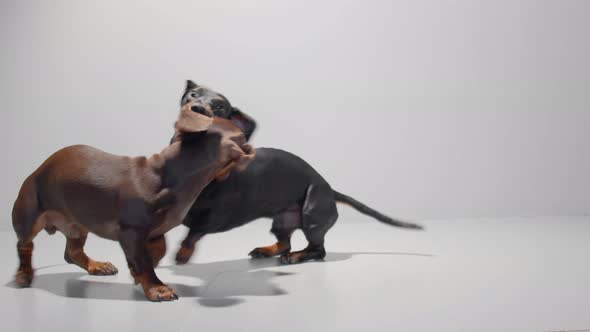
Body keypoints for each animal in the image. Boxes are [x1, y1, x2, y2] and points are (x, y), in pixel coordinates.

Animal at [12, 102, 256, 300]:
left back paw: (96, 266)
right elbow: (144, 261)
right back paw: (24, 275)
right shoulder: (131, 231)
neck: (172, 175)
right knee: (25, 245)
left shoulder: (155, 232)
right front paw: (157, 288)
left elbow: (157, 252)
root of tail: (37, 169)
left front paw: (135, 273)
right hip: (29, 216)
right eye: (239, 132)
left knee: (72, 252)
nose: (250, 122)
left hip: (77, 224)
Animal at [173, 81, 424, 266]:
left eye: (219, 108)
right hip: (282, 221)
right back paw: (266, 250)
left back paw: (295, 257)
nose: (196, 109)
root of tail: (330, 190)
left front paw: (182, 254)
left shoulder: (216, 219)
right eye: (192, 94)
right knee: (285, 243)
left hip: (312, 218)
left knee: (317, 250)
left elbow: (193, 233)